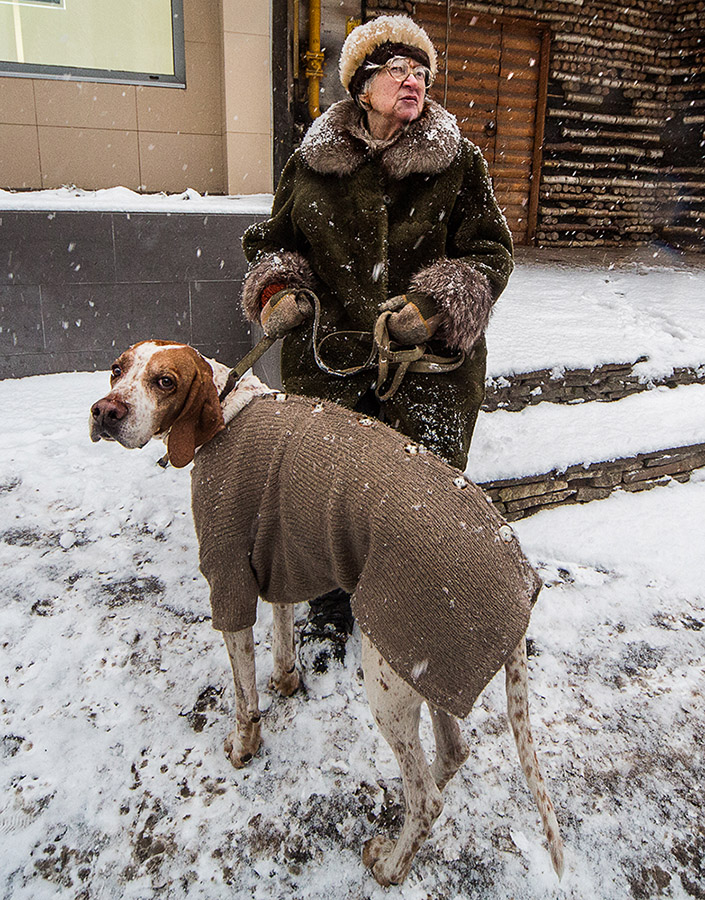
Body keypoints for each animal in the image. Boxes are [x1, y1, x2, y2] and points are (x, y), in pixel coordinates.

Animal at [92, 340, 568, 884]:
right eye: (117, 370)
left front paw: (244, 747)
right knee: (451, 754)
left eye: (165, 381)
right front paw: (285, 680)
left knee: (426, 799)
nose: (105, 412)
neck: (227, 411)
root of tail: (520, 582)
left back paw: (389, 866)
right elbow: (281, 635)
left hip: (389, 673)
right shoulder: (278, 556)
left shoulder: (229, 575)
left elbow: (243, 694)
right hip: (430, 669)